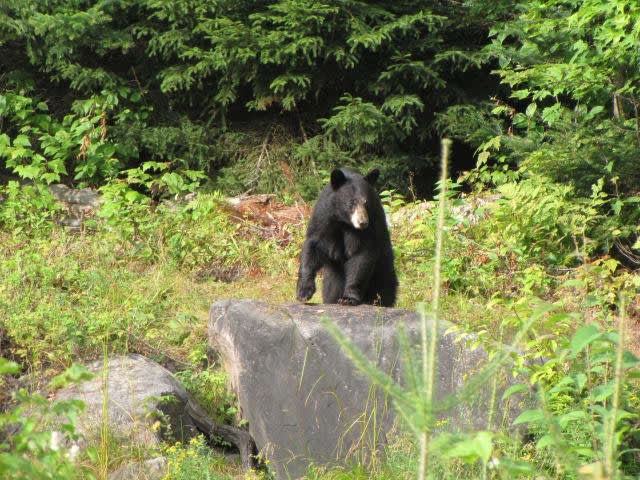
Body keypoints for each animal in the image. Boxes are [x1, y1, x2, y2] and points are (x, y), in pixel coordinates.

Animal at [298, 167, 398, 306]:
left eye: (366, 202)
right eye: (351, 202)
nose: (363, 222)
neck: (343, 221)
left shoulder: (370, 227)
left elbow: (361, 256)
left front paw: (348, 298)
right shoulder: (323, 217)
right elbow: (312, 245)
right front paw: (304, 292)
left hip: (383, 271)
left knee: (384, 292)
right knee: (331, 291)